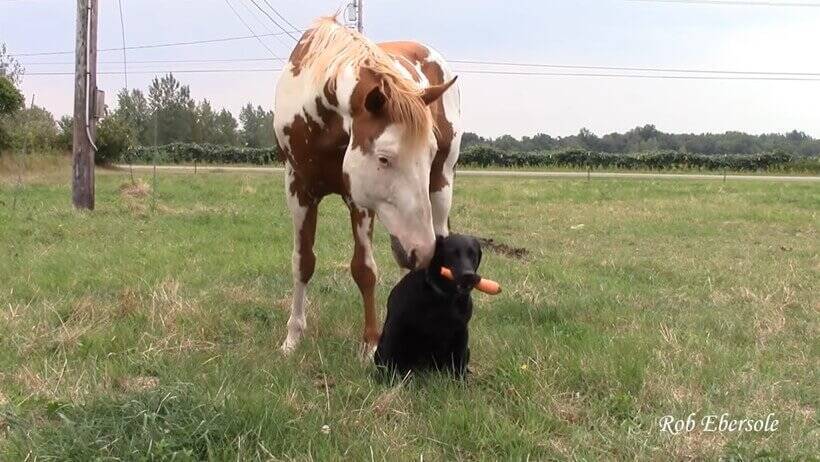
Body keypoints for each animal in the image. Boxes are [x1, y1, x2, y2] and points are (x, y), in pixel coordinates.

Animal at [270, 16, 458, 358]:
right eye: (383, 158)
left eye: (429, 152)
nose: (422, 249)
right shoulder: (299, 190)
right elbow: (303, 262)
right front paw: (292, 338)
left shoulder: (358, 199)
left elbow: (364, 269)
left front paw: (370, 344)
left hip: (441, 187)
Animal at [372, 233, 480, 378]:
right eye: (452, 254)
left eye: (473, 255)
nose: (468, 275)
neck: (444, 298)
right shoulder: (396, 326)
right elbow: (390, 357)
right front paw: (389, 379)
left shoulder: (461, 330)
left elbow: (459, 361)